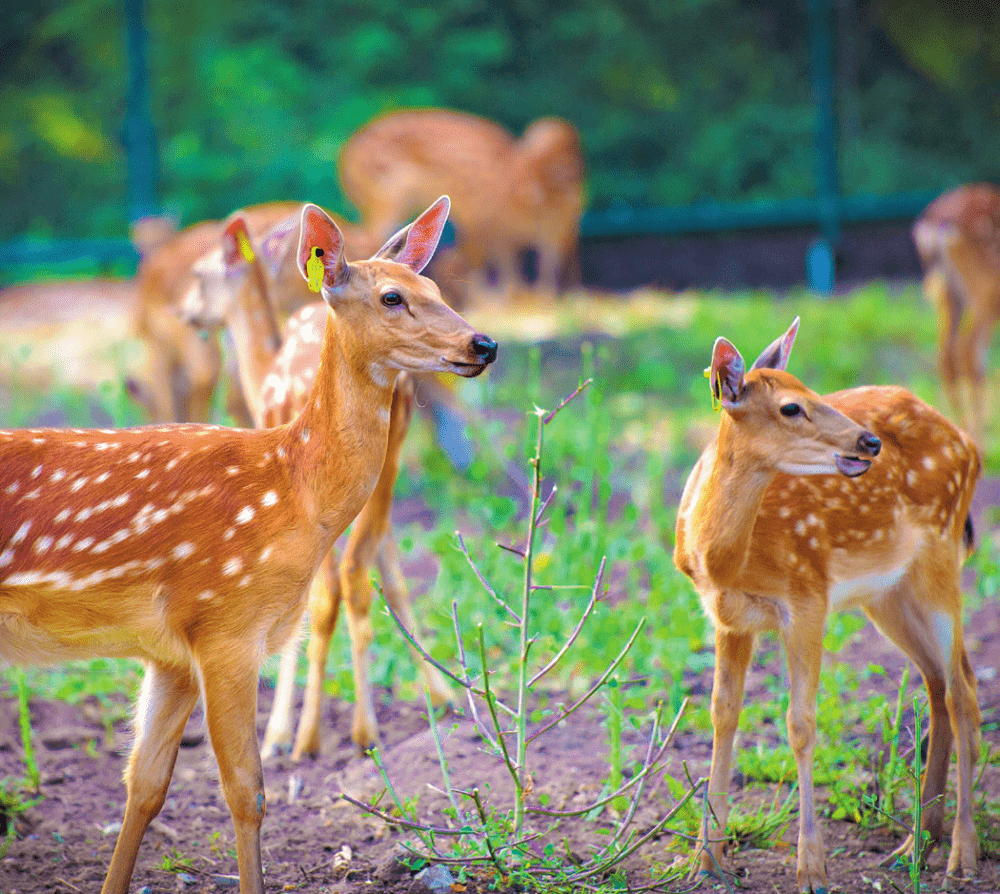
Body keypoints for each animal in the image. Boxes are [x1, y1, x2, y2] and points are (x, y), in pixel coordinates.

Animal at [183, 214, 454, 760]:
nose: (187, 314)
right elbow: (392, 574)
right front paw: (441, 694)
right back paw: (368, 727)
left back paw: (315, 735)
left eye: (200, 275)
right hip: (390, 462)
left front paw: (279, 733)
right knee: (360, 573)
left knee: (331, 588)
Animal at [676, 320, 980, 894]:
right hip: (887, 594)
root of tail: (970, 444)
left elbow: (800, 725)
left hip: (941, 559)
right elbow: (723, 714)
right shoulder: (727, 616)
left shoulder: (807, 598)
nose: (869, 441)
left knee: (963, 692)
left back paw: (962, 855)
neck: (729, 561)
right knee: (938, 681)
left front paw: (811, 869)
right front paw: (706, 860)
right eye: (791, 407)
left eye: (814, 391)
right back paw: (916, 844)